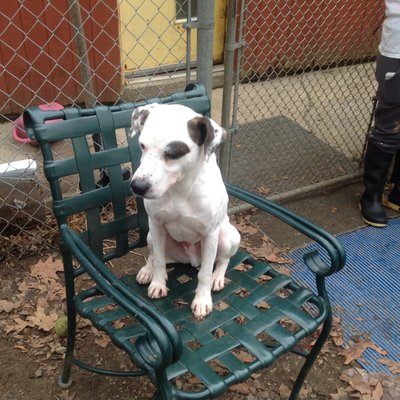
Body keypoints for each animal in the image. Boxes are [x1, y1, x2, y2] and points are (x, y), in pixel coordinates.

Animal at [130, 103, 239, 318]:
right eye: (142, 145)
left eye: (173, 153)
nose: (137, 186)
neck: (179, 189)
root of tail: (191, 260)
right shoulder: (156, 224)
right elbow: (159, 260)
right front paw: (157, 282)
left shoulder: (210, 235)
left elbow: (205, 273)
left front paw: (202, 300)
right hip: (151, 236)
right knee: (156, 255)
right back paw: (148, 270)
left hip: (228, 236)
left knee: (222, 260)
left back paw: (217, 277)